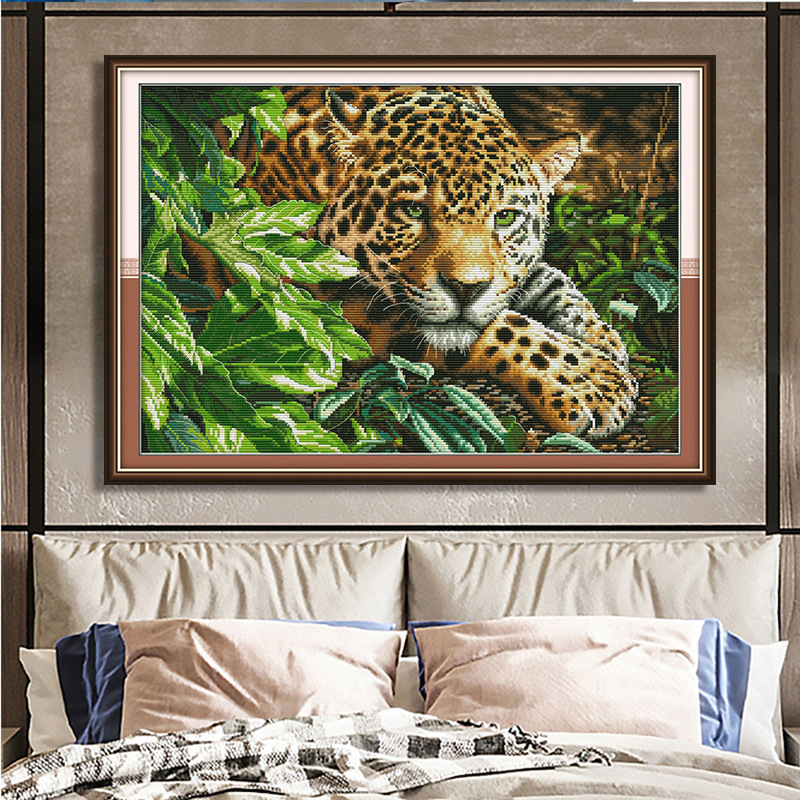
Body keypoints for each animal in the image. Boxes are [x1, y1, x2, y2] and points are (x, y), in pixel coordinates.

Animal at [203, 85, 638, 439]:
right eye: (413, 210)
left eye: (505, 217)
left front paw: (607, 342)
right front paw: (592, 380)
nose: (466, 289)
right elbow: (504, 328)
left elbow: (555, 284)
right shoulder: (305, 291)